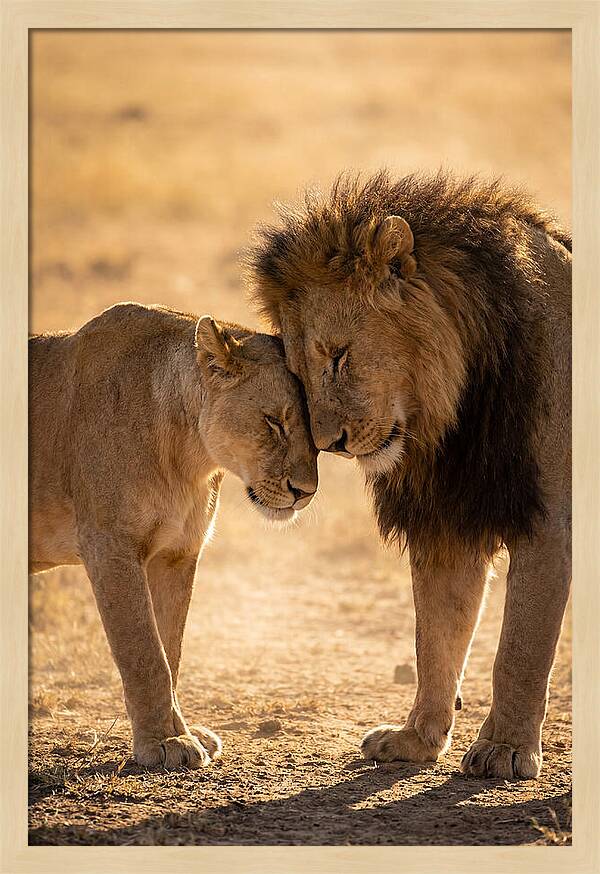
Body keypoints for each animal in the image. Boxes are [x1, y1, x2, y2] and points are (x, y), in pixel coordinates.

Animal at [29, 302, 318, 768]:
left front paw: (182, 731)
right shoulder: (110, 546)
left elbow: (171, 649)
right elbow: (145, 653)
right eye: (274, 422)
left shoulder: (177, 553)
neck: (189, 457)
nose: (305, 492)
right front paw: (166, 741)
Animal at [248, 170, 571, 779]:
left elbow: (519, 648)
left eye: (338, 355)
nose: (330, 444)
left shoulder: (548, 521)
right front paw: (417, 739)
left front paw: (505, 748)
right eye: (297, 374)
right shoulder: (447, 523)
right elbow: (436, 639)